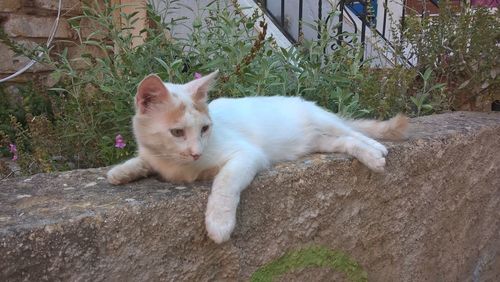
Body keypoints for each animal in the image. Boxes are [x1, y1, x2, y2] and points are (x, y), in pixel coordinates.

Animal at [107, 71, 408, 245]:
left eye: (205, 129)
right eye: (177, 132)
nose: (196, 152)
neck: (177, 166)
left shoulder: (246, 154)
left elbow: (224, 184)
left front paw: (219, 223)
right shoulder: (155, 155)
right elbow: (144, 160)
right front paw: (121, 171)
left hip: (324, 121)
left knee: (353, 131)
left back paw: (376, 152)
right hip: (319, 141)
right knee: (345, 141)